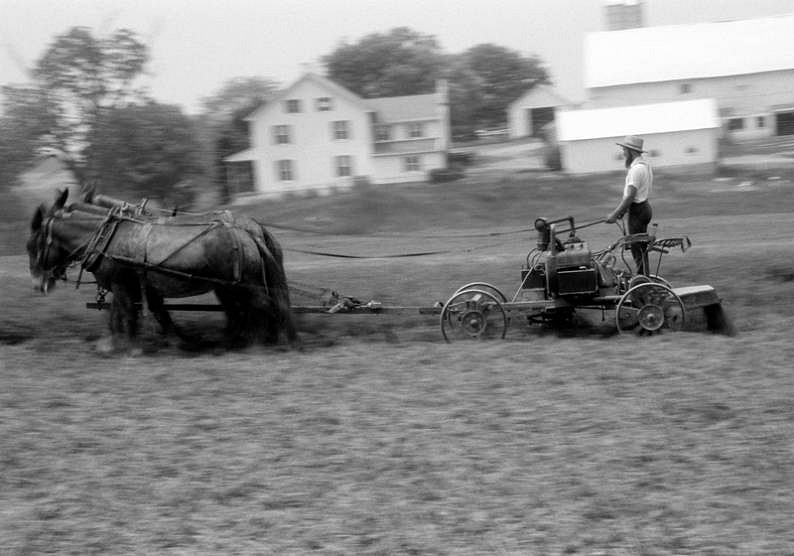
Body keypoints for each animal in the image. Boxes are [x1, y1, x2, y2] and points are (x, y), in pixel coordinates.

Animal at [27, 189, 296, 350]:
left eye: (31, 245)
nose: (39, 284)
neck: (106, 236)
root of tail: (250, 233)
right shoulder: (141, 287)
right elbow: (152, 313)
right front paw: (176, 341)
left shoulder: (122, 285)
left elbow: (125, 313)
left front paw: (130, 347)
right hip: (228, 286)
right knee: (241, 310)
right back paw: (235, 340)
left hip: (244, 284)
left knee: (261, 305)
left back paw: (259, 342)